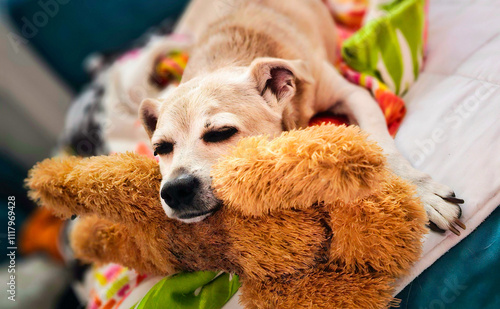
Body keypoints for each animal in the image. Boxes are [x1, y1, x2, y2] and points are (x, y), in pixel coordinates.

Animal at [138, 0, 464, 232]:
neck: (226, 56)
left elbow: (386, 150)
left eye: (221, 133)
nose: (174, 191)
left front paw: (422, 193)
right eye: (160, 149)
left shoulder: (355, 95)